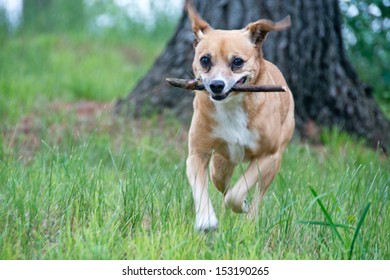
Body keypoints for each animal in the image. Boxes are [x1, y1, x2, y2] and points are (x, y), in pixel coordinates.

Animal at [186, 2, 296, 232]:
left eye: (237, 62)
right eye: (205, 60)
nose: (216, 85)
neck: (232, 105)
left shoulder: (268, 156)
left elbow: (238, 193)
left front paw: (242, 205)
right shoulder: (197, 155)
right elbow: (201, 186)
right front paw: (205, 220)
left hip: (275, 163)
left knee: (258, 193)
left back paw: (251, 218)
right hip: (220, 164)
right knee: (222, 183)